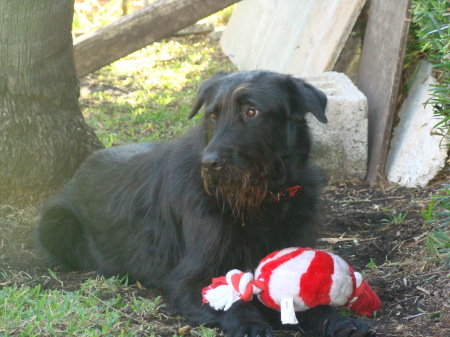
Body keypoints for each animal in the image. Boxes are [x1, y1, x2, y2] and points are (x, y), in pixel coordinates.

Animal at [36, 69, 372, 334]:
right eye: (212, 115)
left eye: (252, 112)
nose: (209, 164)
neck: (262, 201)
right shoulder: (192, 279)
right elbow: (231, 304)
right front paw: (251, 325)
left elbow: (313, 301)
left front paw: (339, 322)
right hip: (57, 225)